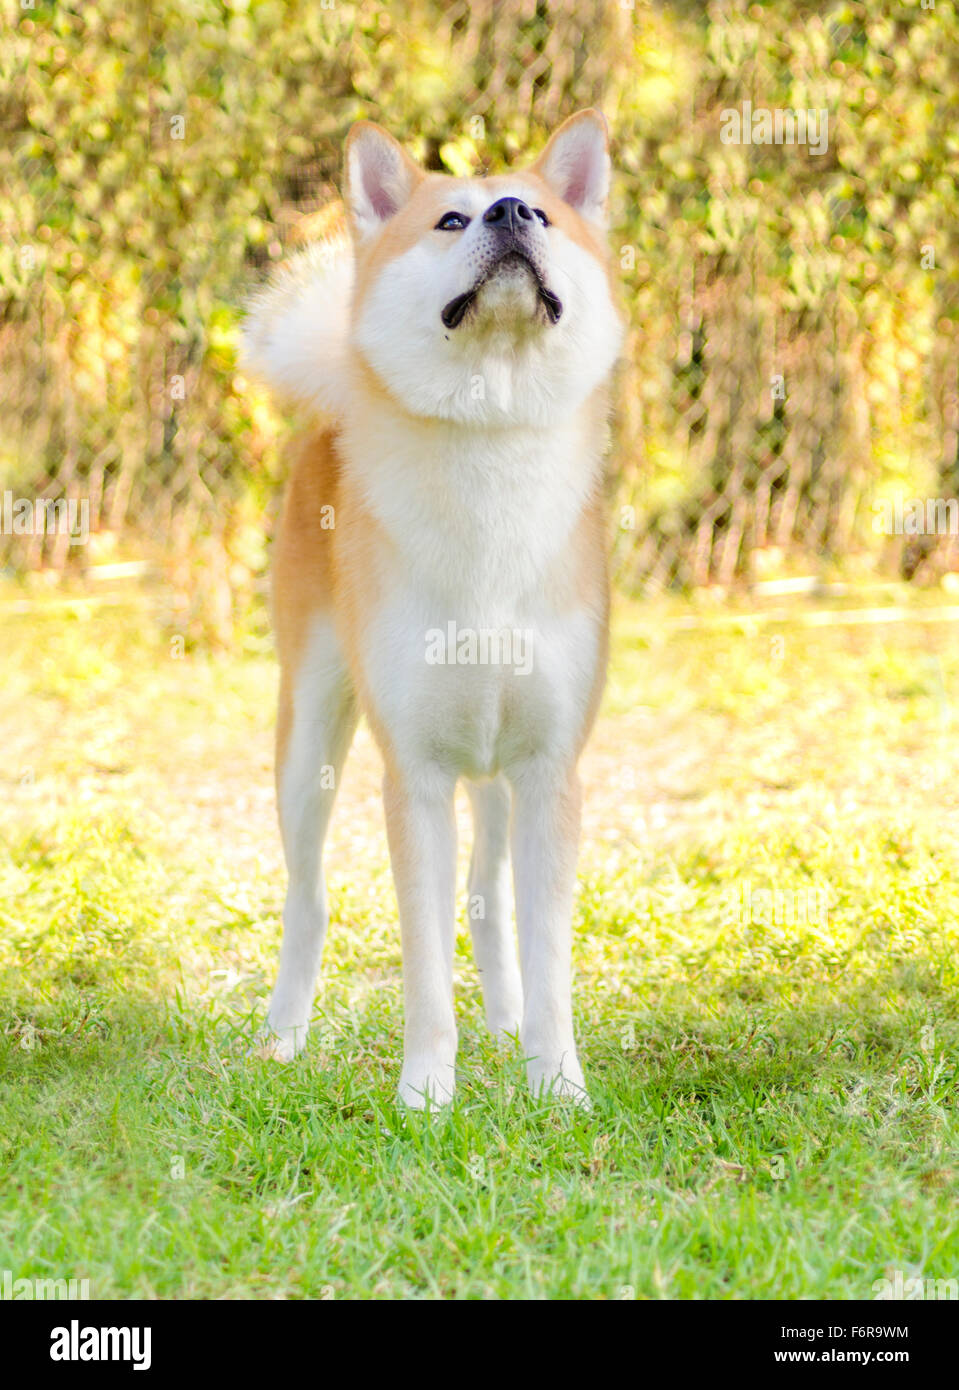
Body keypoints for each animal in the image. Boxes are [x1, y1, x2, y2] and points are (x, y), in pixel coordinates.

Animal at [240, 105, 619, 1106]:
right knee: (308, 897)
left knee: (488, 900)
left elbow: (547, 954)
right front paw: (424, 1096)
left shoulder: (547, 771)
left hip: (491, 782)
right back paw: (284, 1036)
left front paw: (557, 1088)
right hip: (308, 741)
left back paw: (507, 1022)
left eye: (544, 215)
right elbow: (422, 966)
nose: (513, 212)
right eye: (450, 220)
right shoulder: (411, 776)